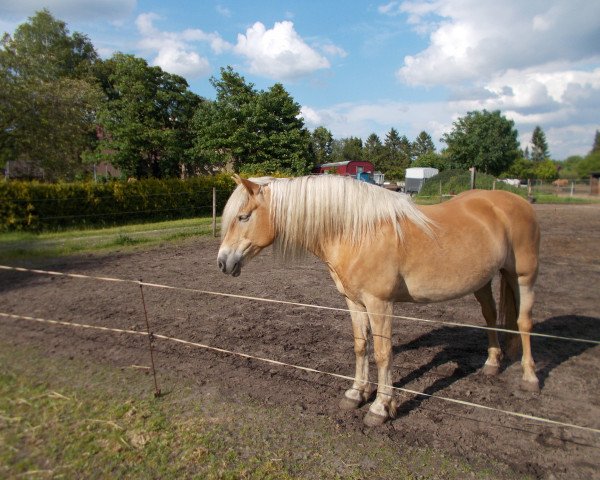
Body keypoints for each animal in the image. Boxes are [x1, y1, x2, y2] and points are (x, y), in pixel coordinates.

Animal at [218, 174, 540, 426]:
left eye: (243, 216)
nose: (223, 262)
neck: (355, 232)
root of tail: (515, 202)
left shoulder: (380, 304)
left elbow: (384, 353)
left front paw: (380, 408)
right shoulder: (354, 302)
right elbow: (361, 346)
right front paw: (356, 394)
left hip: (523, 276)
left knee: (524, 322)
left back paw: (529, 378)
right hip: (484, 280)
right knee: (490, 316)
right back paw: (492, 363)